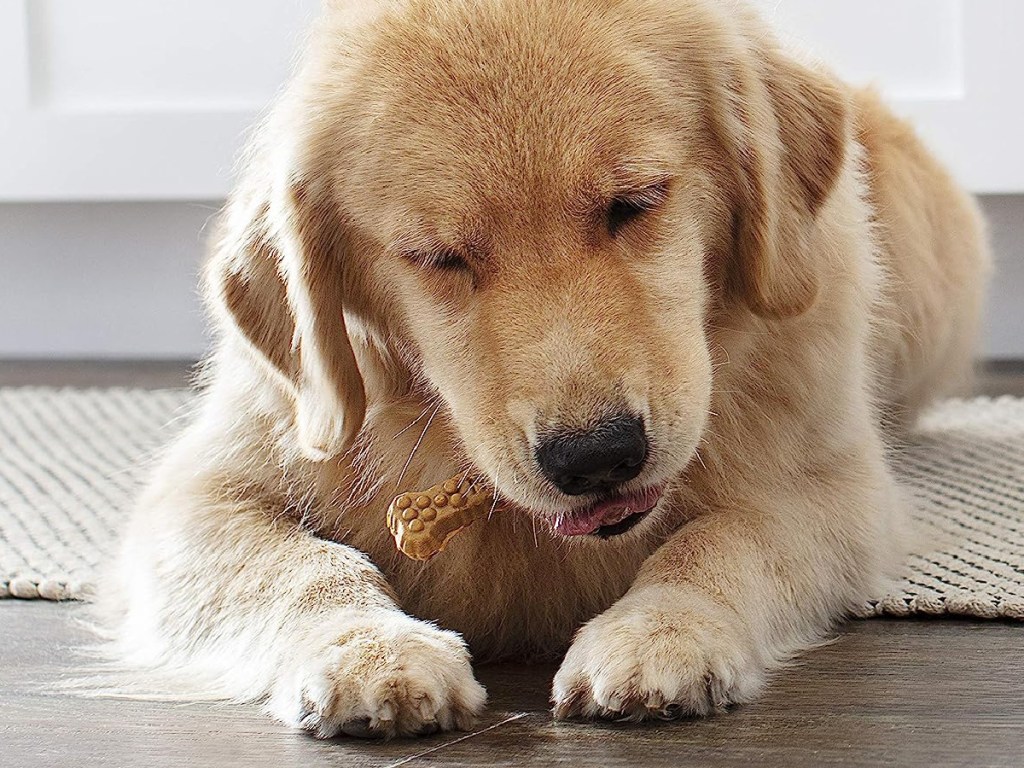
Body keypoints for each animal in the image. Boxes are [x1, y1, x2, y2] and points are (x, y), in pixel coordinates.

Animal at [99, 0, 987, 741]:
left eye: (636, 203)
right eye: (439, 258)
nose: (597, 457)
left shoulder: (838, 491)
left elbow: (722, 540)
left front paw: (659, 633)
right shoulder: (201, 494)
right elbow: (304, 569)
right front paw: (370, 651)